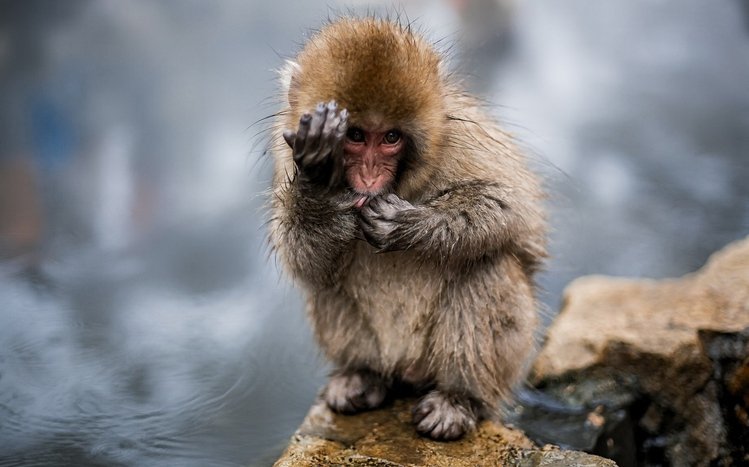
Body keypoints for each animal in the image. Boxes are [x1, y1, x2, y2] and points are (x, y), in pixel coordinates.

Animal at [268, 17, 547, 441]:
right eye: (355, 136)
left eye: (391, 138)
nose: (369, 176)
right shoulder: (287, 151)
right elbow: (304, 259)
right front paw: (318, 178)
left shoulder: (463, 141)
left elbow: (509, 206)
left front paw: (405, 224)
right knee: (327, 284)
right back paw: (364, 376)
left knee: (489, 265)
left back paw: (459, 398)